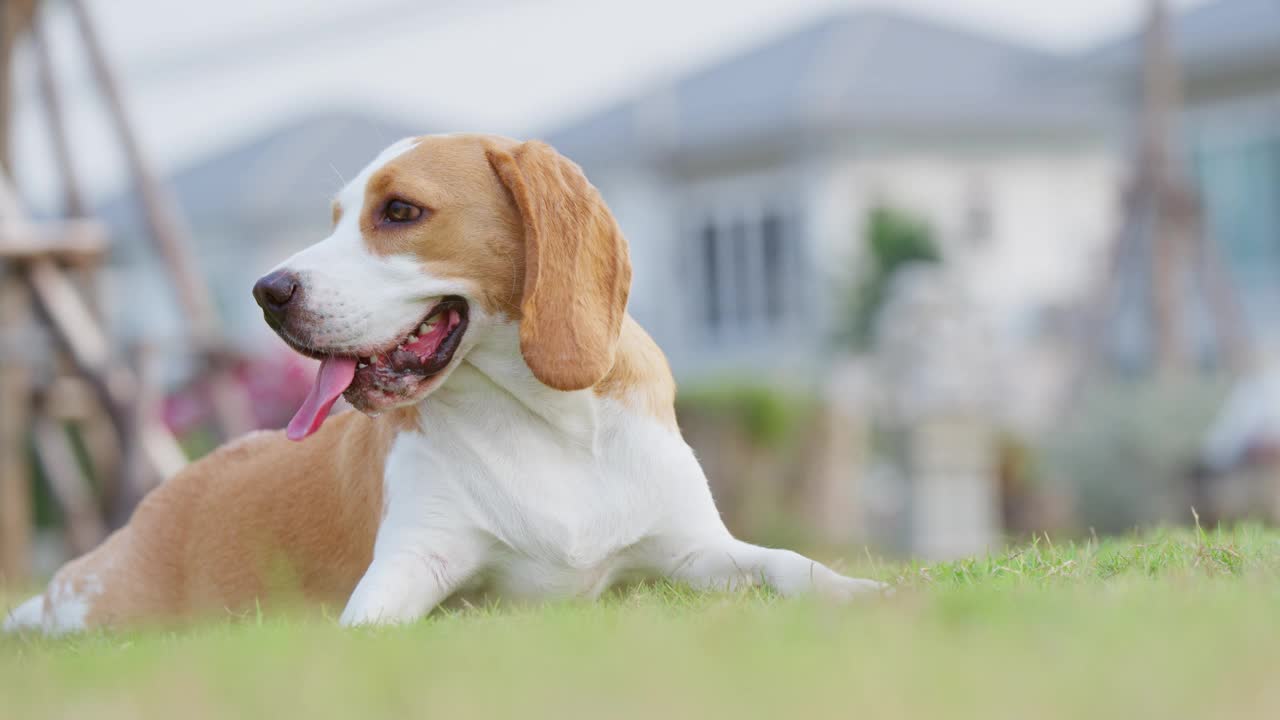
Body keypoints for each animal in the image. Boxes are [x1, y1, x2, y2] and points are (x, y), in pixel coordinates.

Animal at [2, 134, 880, 632]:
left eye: (399, 211)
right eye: (334, 219)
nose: (266, 290)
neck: (545, 424)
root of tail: (175, 483)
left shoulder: (695, 550)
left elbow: (790, 564)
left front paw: (864, 592)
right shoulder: (410, 568)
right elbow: (372, 626)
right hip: (93, 600)